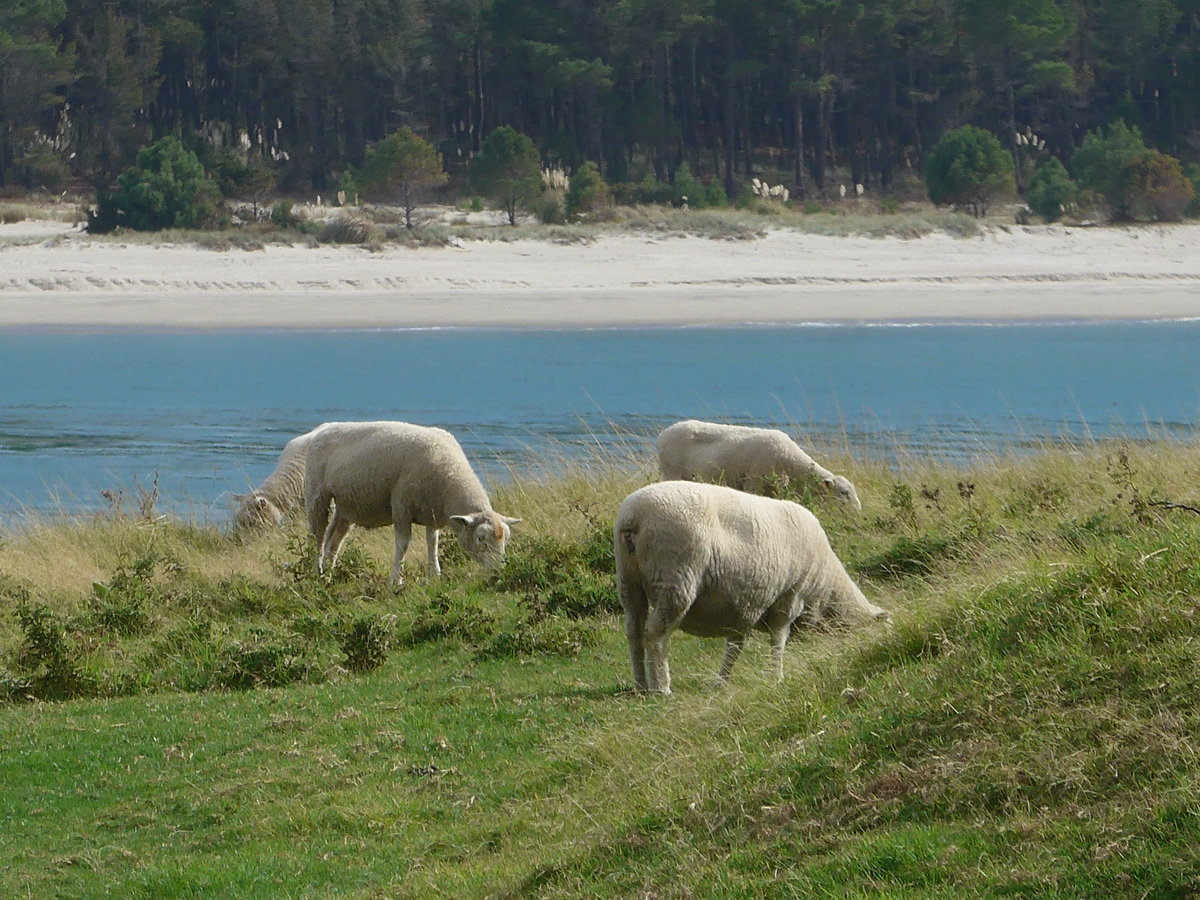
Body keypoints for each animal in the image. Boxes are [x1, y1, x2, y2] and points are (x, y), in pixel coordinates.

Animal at [303, 421, 519, 585]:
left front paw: (435, 575)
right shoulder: (401, 506)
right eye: (481, 538)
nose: (499, 569)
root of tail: (323, 428)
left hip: (347, 506)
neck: (449, 477)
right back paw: (315, 571)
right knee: (317, 537)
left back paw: (328, 575)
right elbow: (403, 544)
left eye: (506, 539)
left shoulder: (432, 512)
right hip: (316, 494)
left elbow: (432, 543)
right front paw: (396, 580)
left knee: (334, 540)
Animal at [614, 480, 887, 694]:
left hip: (629, 580)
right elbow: (779, 639)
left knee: (634, 632)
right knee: (655, 635)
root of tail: (634, 517)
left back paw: (640, 685)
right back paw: (661, 687)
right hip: (676, 578)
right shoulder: (789, 596)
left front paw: (722, 682)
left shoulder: (744, 606)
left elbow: (735, 647)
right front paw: (777, 676)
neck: (826, 588)